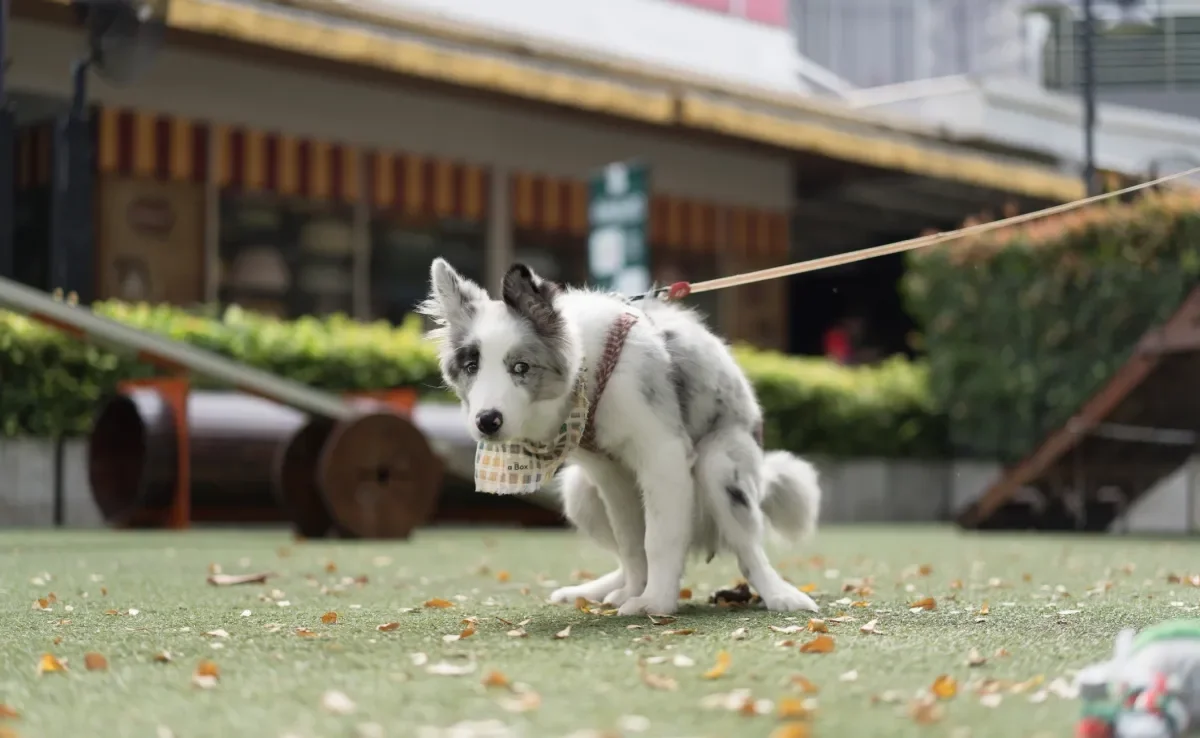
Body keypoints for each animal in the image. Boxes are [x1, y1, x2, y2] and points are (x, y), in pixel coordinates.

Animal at [417, 260, 820, 619]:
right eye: (471, 366)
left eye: (521, 368)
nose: (487, 421)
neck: (591, 371)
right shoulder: (610, 473)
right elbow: (631, 542)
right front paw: (636, 592)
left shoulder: (663, 456)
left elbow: (658, 538)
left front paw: (655, 602)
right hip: (579, 491)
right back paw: (605, 590)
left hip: (721, 465)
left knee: (749, 549)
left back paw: (781, 595)